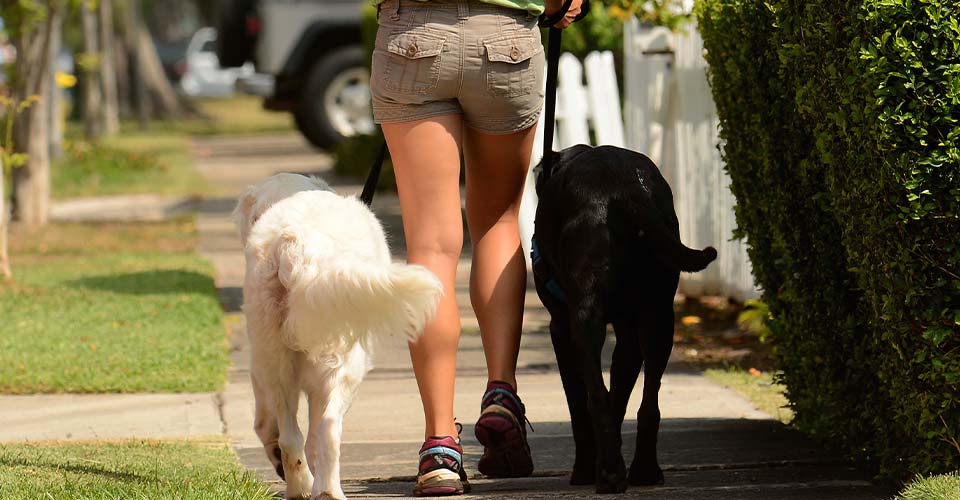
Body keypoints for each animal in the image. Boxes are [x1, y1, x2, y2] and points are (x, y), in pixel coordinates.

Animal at [232, 174, 442, 498]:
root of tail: (296, 245)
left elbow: (270, 423)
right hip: (345, 363)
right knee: (327, 428)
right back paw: (328, 490)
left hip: (274, 356)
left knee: (292, 437)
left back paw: (300, 487)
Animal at [528, 144, 716, 492]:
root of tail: (626, 187)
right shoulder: (629, 333)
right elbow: (622, 396)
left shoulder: (559, 329)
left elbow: (579, 403)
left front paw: (586, 470)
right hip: (659, 317)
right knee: (648, 404)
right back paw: (642, 470)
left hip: (584, 320)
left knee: (596, 398)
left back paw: (609, 476)